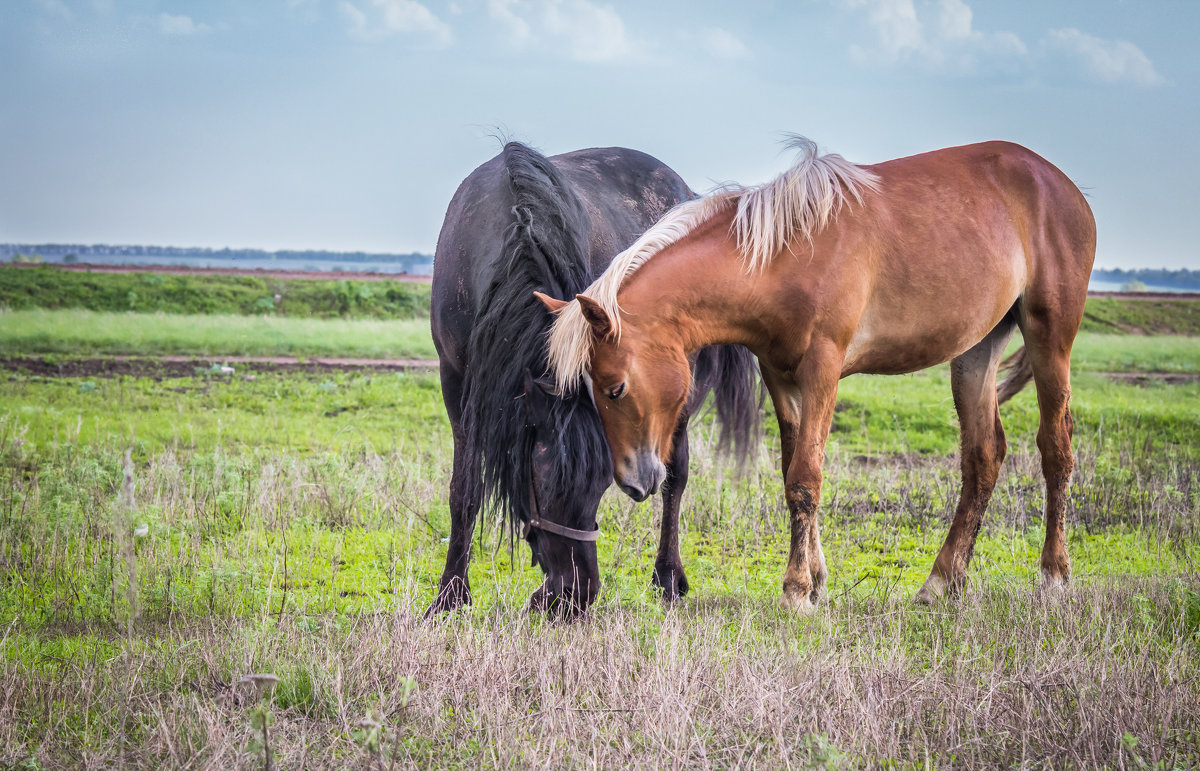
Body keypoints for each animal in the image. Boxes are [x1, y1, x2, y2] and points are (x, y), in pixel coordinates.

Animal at [427, 142, 753, 612]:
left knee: (675, 476)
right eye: (544, 485)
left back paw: (668, 577)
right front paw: (451, 594)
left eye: (600, 485)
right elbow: (464, 490)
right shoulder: (455, 383)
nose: (574, 596)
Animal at [542, 135, 1099, 610]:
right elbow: (792, 473)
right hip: (976, 351)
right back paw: (942, 582)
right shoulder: (781, 377)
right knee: (983, 458)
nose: (634, 484)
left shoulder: (823, 370)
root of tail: (1062, 185)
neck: (782, 256)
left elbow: (805, 478)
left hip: (1050, 337)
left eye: (615, 388)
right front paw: (816, 581)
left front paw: (795, 590)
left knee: (1056, 449)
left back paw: (1053, 575)